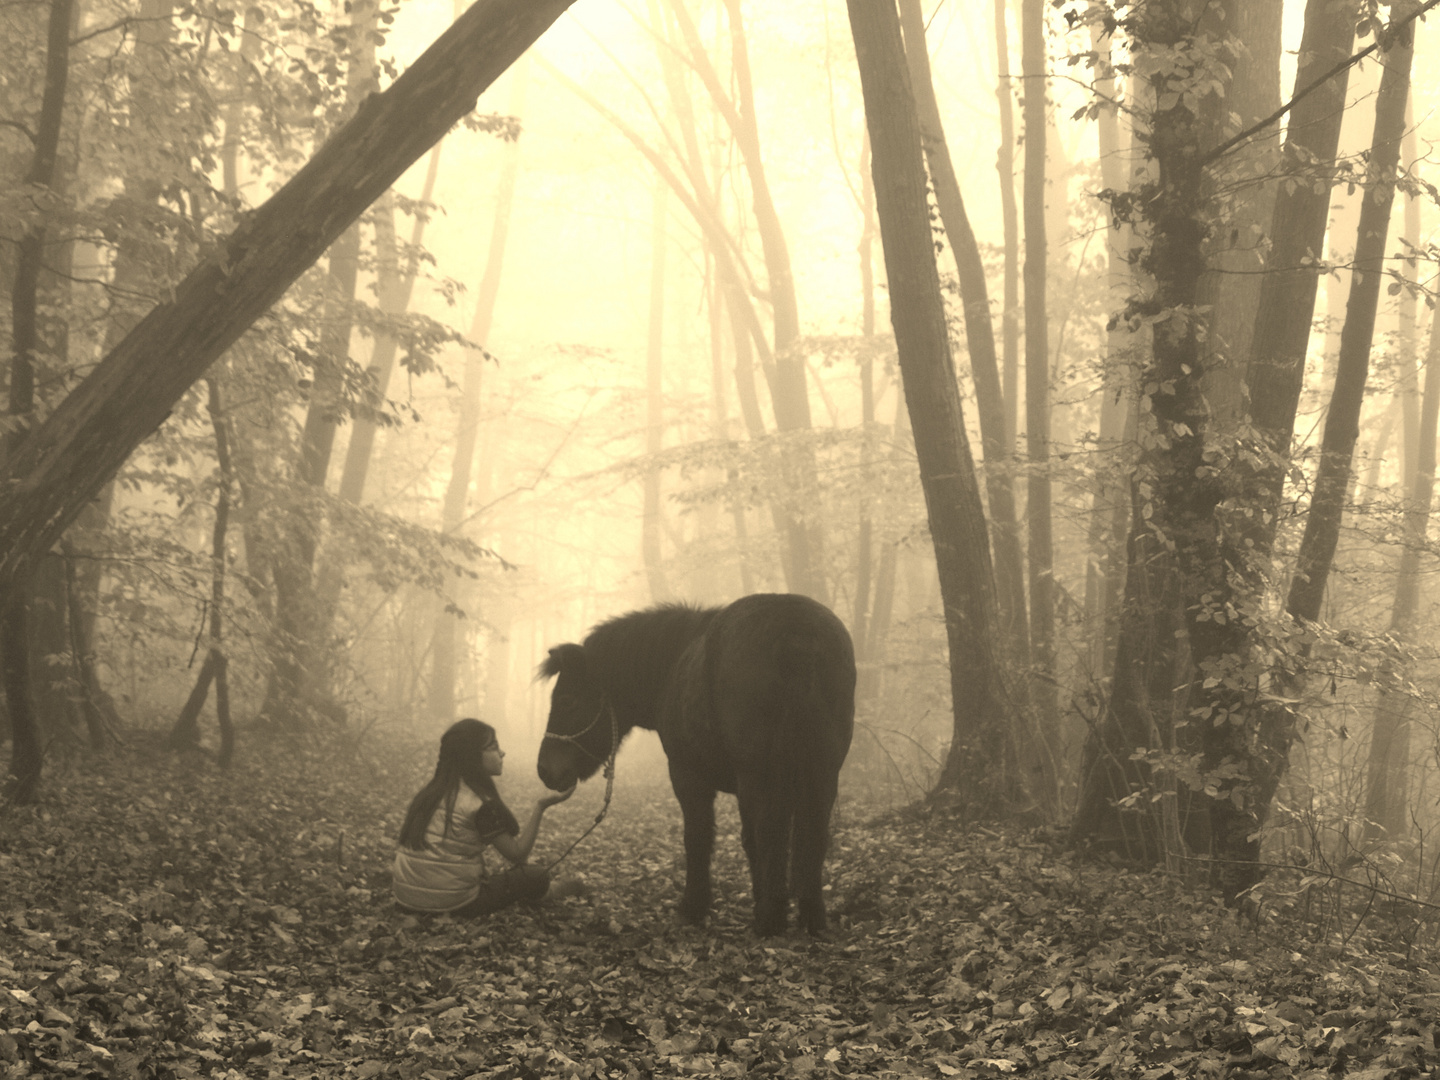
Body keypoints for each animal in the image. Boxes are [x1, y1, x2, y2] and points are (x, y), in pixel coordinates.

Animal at [541, 596, 852, 933]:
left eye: (567, 700)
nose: (544, 768)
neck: (672, 663)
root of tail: (796, 631)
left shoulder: (687, 775)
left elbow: (699, 838)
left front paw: (694, 906)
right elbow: (749, 841)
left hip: (762, 775)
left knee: (772, 831)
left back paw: (771, 919)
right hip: (821, 773)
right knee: (812, 834)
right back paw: (810, 916)